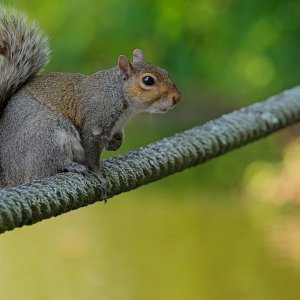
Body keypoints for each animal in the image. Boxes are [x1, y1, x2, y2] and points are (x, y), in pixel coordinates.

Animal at [0, 7, 180, 188]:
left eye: (165, 72)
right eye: (148, 80)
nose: (177, 98)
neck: (118, 95)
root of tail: (10, 176)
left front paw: (116, 143)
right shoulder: (95, 123)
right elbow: (92, 154)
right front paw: (99, 175)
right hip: (45, 134)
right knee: (48, 165)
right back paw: (71, 166)